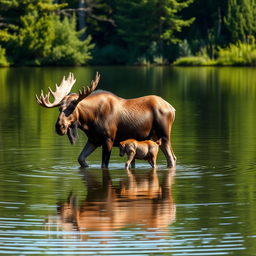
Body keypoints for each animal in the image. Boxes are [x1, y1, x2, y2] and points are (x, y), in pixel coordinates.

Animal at [36, 72, 176, 169]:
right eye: (59, 108)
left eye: (72, 107)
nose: (59, 127)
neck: (89, 121)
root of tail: (172, 109)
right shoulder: (93, 140)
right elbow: (81, 159)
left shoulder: (108, 139)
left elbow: (104, 164)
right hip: (156, 138)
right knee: (173, 157)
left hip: (164, 135)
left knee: (171, 159)